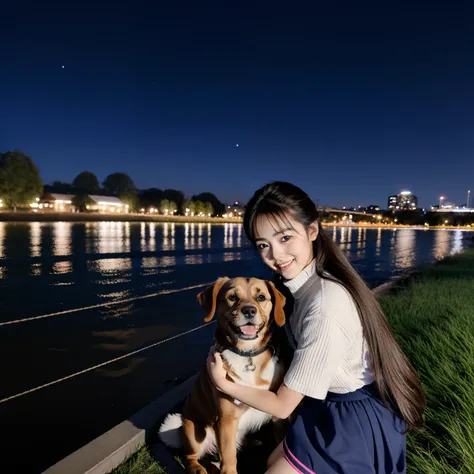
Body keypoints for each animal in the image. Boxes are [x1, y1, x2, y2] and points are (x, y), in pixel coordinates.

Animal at [158, 276, 286, 474]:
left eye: (261, 297)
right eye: (232, 297)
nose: (249, 310)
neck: (247, 355)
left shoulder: (278, 415)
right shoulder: (226, 420)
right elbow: (229, 461)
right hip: (194, 430)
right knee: (190, 456)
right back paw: (199, 468)